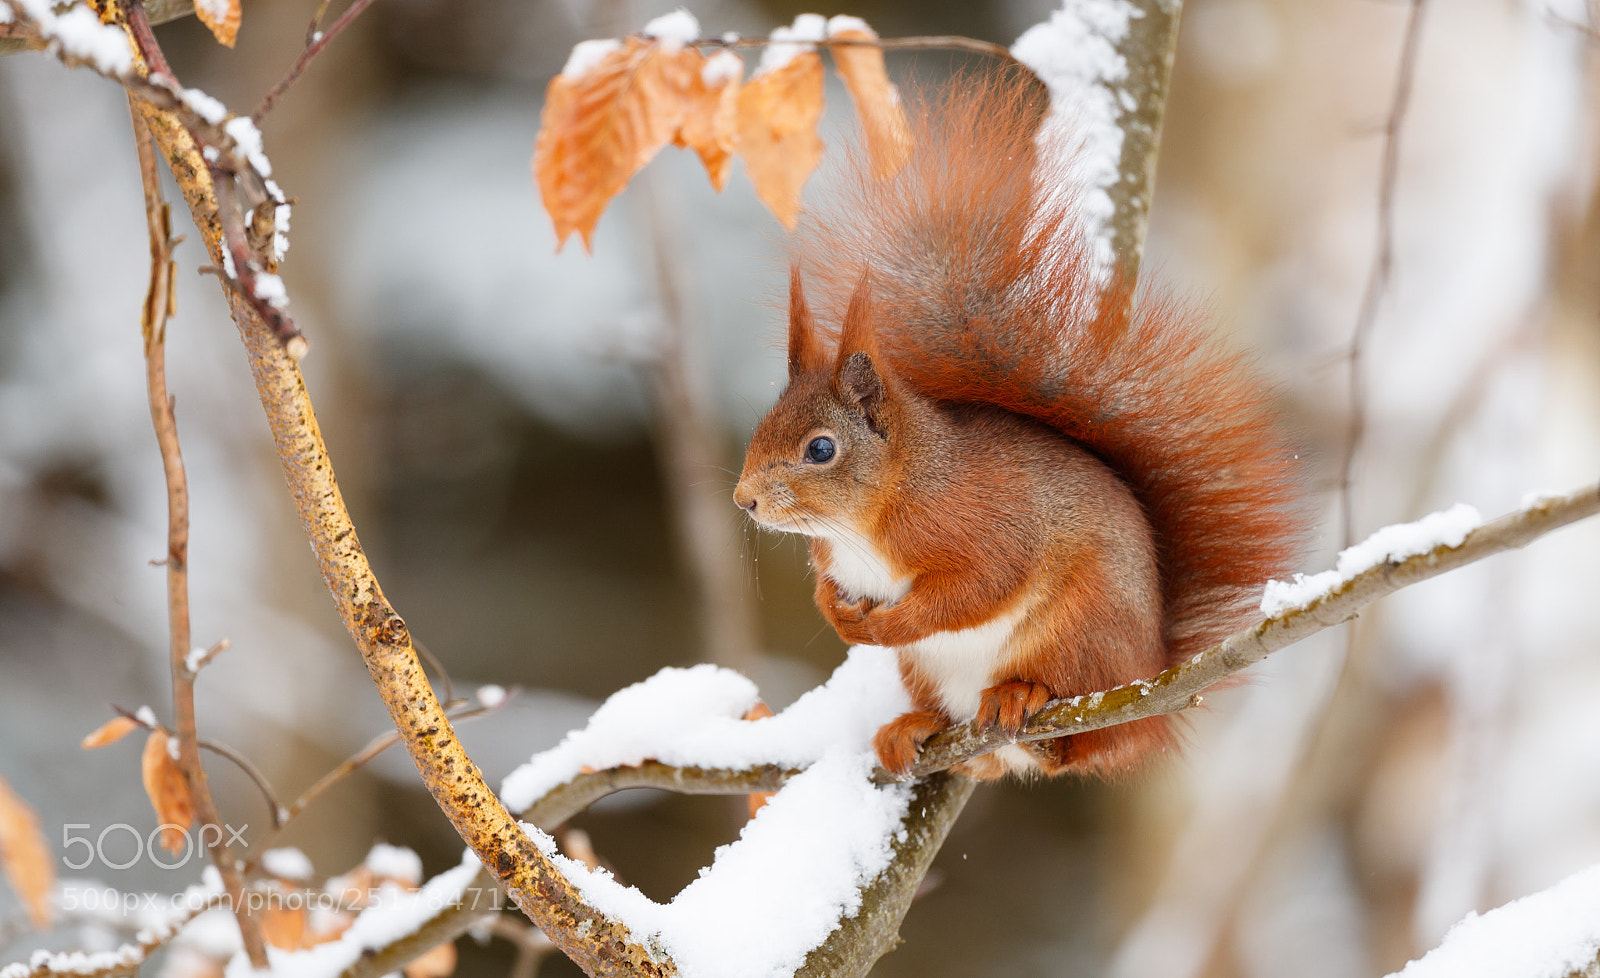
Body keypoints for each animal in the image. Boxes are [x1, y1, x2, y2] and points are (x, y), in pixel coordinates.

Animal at [732, 74, 1306, 780]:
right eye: (764, 423)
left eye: (821, 449)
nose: (745, 500)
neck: (877, 510)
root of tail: (1150, 685)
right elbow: (831, 588)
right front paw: (837, 613)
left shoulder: (985, 525)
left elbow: (979, 587)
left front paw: (885, 625)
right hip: (932, 674)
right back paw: (916, 728)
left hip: (1077, 631)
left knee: (1069, 743)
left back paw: (1023, 701)